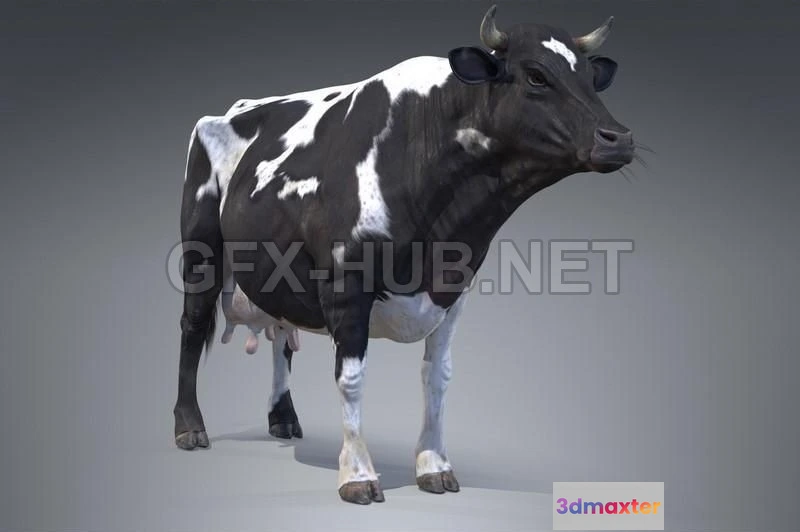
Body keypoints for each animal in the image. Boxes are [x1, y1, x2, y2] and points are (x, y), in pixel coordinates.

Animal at [174, 5, 634, 504]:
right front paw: (357, 474)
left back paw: (283, 419)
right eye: (535, 75)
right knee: (192, 326)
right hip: (200, 249)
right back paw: (189, 427)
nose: (619, 137)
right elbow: (351, 378)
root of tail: (235, 107)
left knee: (280, 335)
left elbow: (438, 377)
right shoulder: (345, 285)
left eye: (590, 77)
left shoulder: (454, 289)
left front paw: (435, 467)